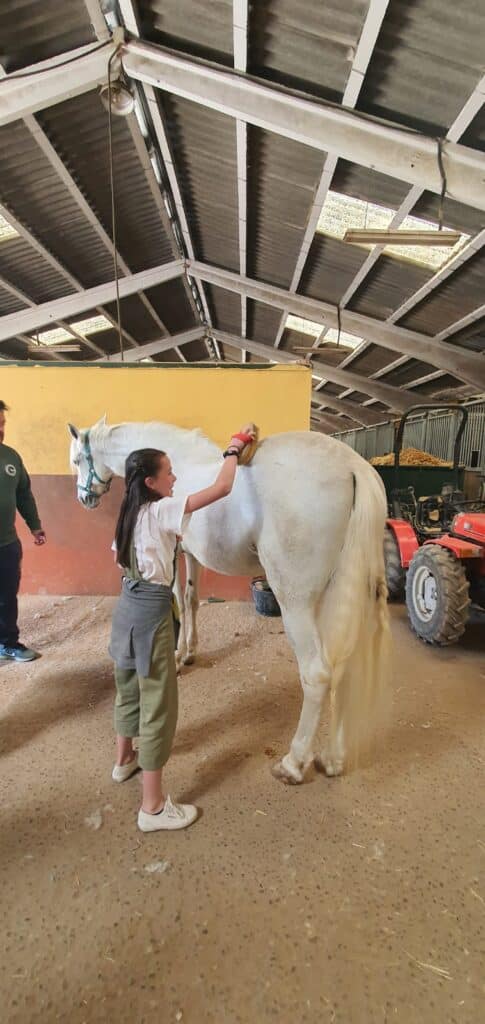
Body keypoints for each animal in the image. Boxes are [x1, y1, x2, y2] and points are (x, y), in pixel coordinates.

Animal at [68, 411, 392, 778]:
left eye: (78, 460)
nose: (85, 498)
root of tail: (354, 467)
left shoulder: (175, 552)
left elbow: (179, 601)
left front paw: (178, 655)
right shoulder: (192, 555)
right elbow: (192, 599)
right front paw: (190, 652)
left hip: (297, 604)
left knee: (318, 673)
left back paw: (294, 762)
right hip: (340, 595)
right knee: (342, 669)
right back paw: (333, 759)